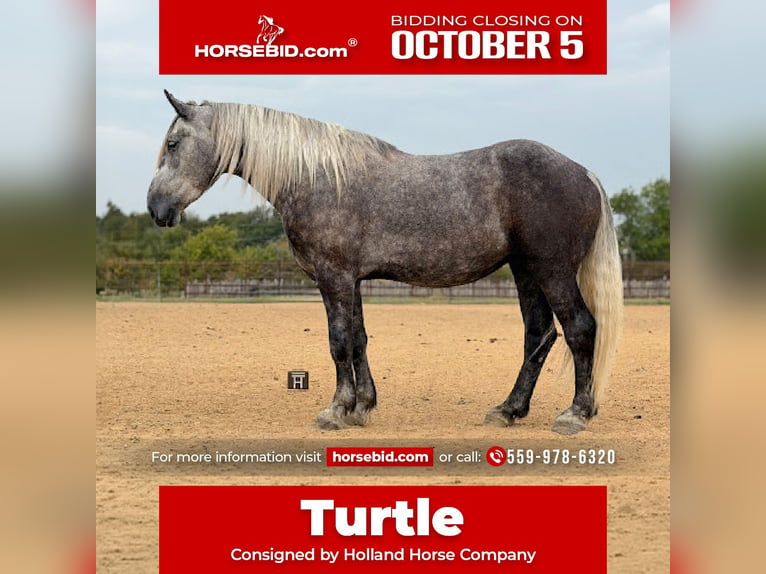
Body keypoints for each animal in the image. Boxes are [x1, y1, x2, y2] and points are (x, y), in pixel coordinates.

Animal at [147, 90, 623, 435]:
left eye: (172, 143)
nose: (156, 208)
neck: (317, 177)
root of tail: (583, 173)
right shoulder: (352, 280)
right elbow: (359, 340)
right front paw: (362, 407)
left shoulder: (333, 277)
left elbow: (339, 341)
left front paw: (336, 411)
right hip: (526, 271)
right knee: (538, 336)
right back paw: (509, 409)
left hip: (551, 269)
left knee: (580, 329)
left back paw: (575, 414)